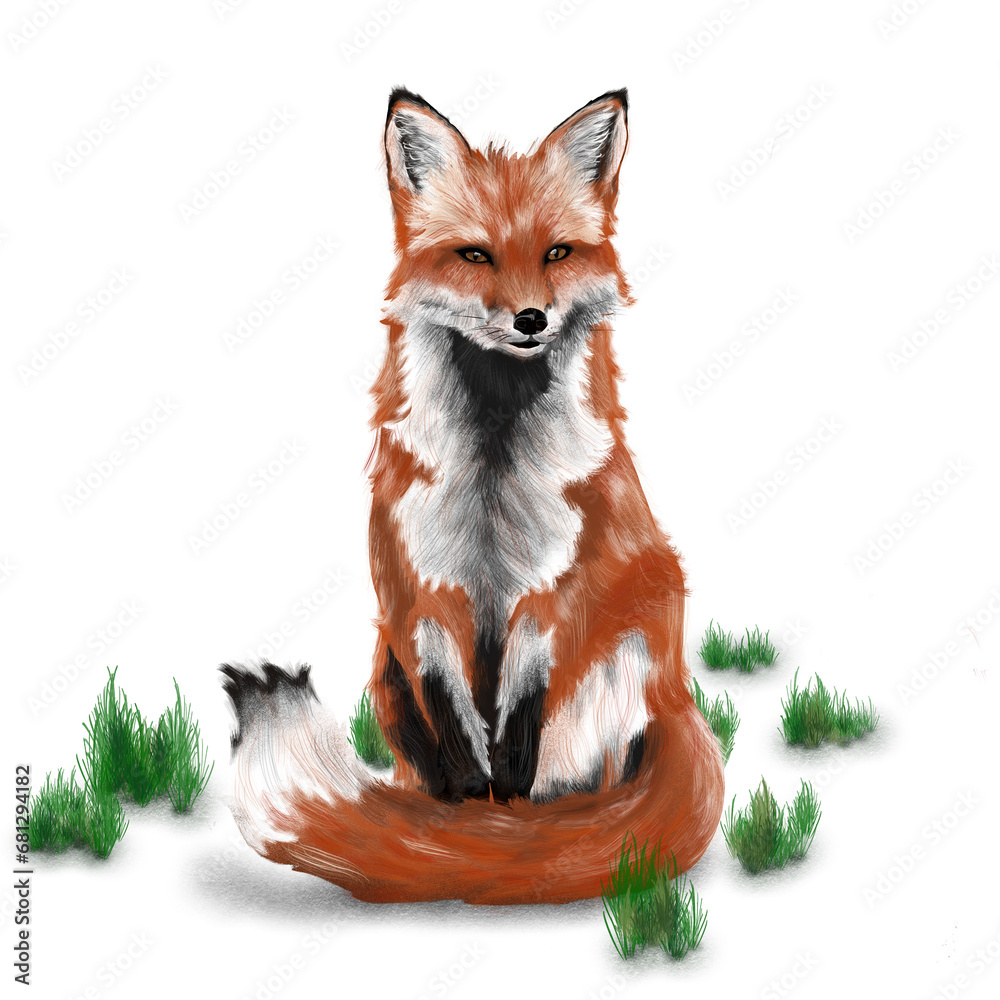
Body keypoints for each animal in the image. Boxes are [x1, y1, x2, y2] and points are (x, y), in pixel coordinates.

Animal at [221, 87, 725, 905]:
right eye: (475, 254)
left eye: (556, 253)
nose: (531, 318)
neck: (494, 473)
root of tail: (680, 696)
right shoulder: (424, 598)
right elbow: (460, 744)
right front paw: (463, 829)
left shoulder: (546, 596)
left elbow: (518, 741)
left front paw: (506, 832)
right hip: (386, 670)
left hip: (631, 638)